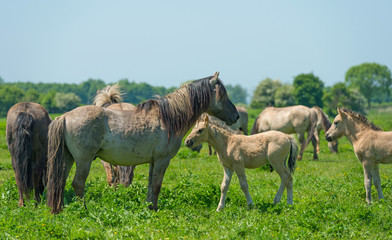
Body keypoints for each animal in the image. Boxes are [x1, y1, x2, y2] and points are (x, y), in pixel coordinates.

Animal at [46, 71, 239, 214]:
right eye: (222, 95)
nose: (236, 116)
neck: (168, 119)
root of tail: (65, 116)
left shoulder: (153, 162)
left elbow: (150, 186)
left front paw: (149, 208)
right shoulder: (162, 160)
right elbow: (157, 185)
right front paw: (154, 209)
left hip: (68, 158)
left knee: (60, 182)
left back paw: (59, 210)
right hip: (83, 160)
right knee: (78, 184)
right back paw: (83, 210)